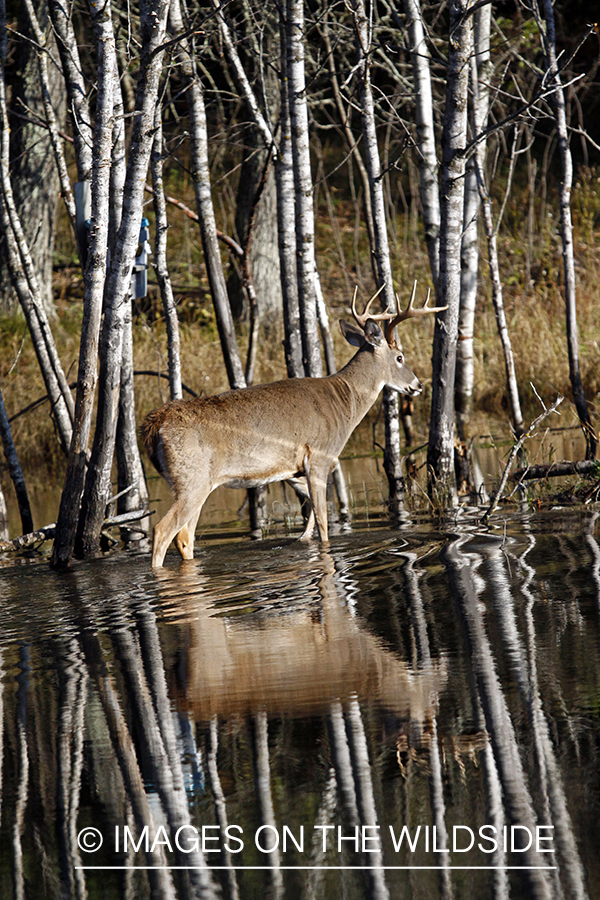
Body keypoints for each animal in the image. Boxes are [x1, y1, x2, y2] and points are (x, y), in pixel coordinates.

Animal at [141, 282, 440, 568]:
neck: (345, 402)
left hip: (194, 482)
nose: (418, 385)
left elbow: (314, 515)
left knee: (184, 537)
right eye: (400, 357)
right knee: (163, 531)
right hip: (193, 479)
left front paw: (302, 541)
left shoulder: (293, 471)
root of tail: (155, 425)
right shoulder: (320, 457)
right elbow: (323, 523)